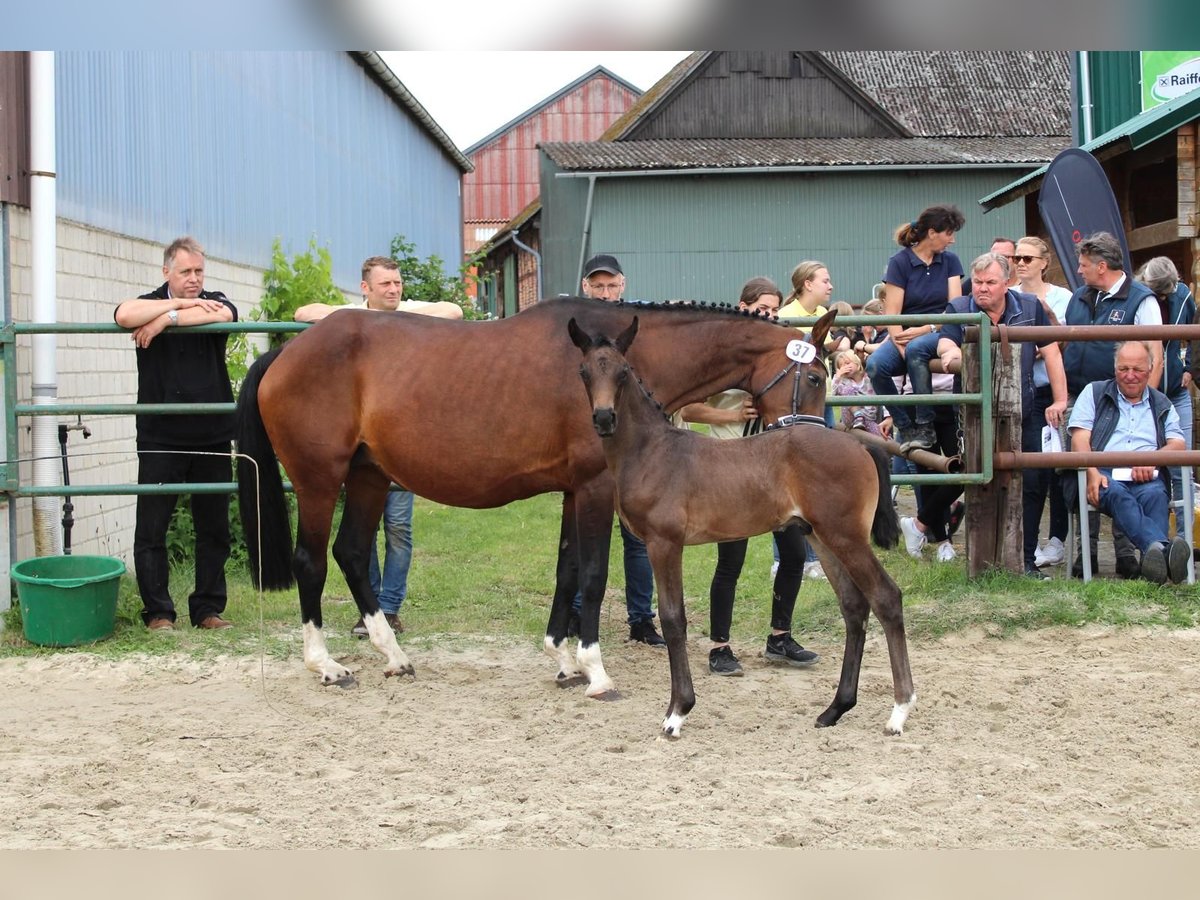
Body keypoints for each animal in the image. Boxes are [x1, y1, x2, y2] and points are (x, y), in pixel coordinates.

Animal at [566, 316, 912, 739]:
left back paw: (899, 711)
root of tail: (860, 445)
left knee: (886, 598)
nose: (603, 418)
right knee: (854, 606)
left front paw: (677, 712)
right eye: (584, 372)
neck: (652, 451)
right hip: (822, 537)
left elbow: (673, 618)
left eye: (623, 372)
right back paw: (835, 709)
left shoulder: (664, 543)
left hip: (846, 537)